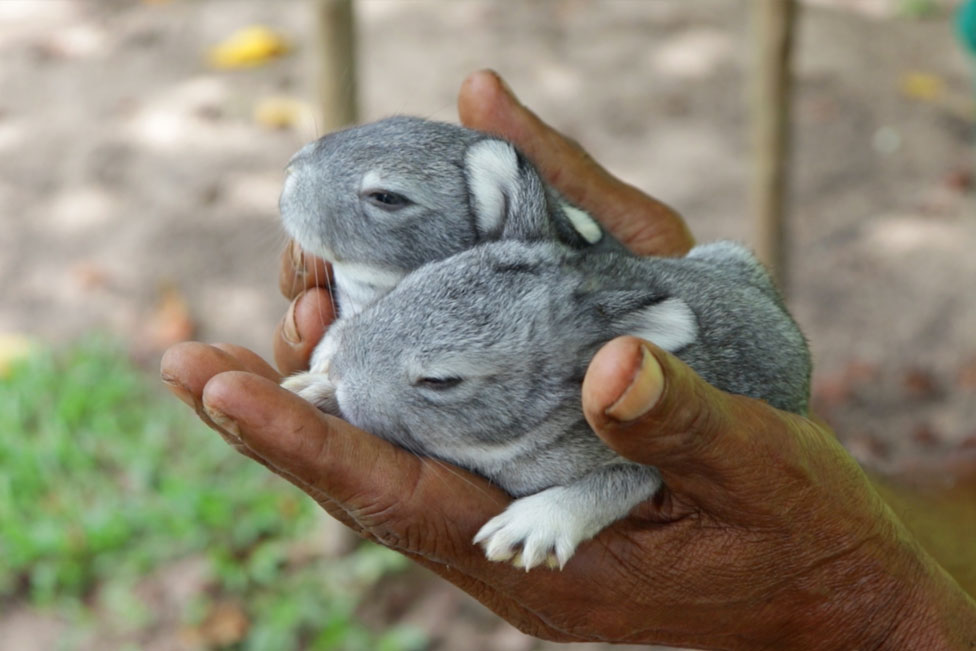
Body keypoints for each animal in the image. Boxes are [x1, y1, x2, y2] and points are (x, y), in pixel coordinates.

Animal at [284, 239, 816, 572]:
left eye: (440, 380)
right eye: (406, 286)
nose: (344, 374)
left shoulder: (648, 464)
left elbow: (615, 483)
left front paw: (525, 532)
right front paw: (313, 388)